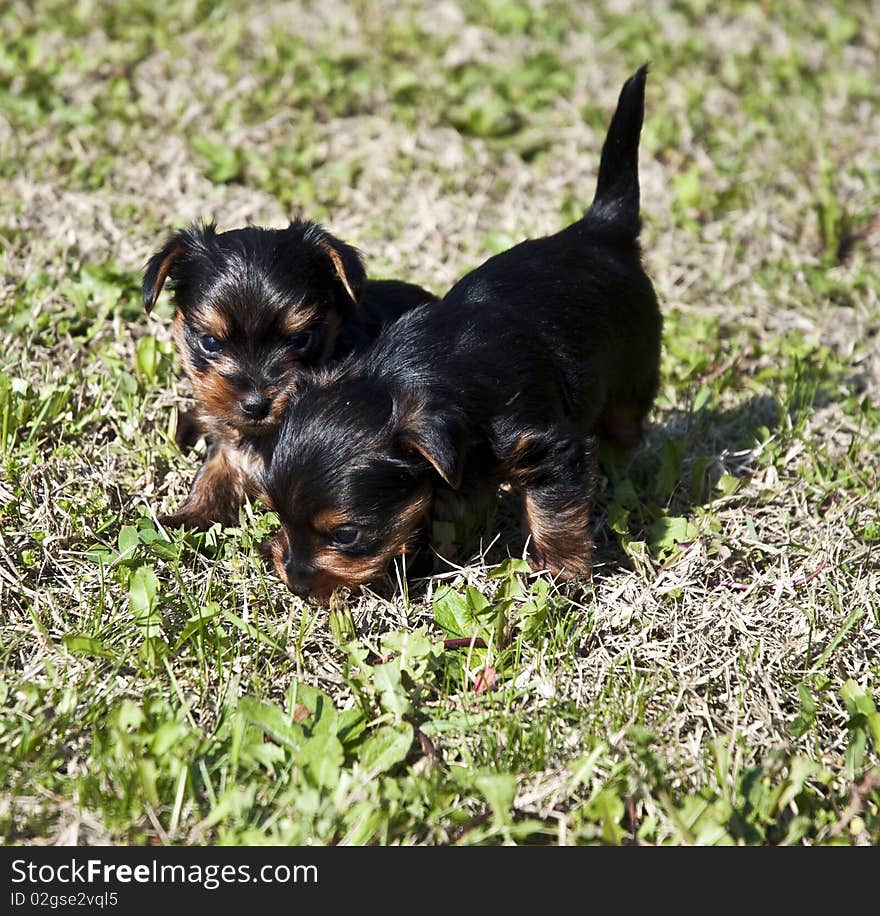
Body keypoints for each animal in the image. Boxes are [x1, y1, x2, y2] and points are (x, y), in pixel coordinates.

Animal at [142, 217, 440, 524]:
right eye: (210, 342)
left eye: (299, 339)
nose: (256, 405)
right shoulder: (229, 444)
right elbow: (214, 472)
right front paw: (187, 516)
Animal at [264, 62, 664, 592]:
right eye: (278, 515)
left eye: (346, 534)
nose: (296, 583)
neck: (416, 374)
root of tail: (601, 227)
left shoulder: (553, 451)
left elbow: (555, 514)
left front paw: (560, 574)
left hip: (631, 373)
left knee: (624, 430)